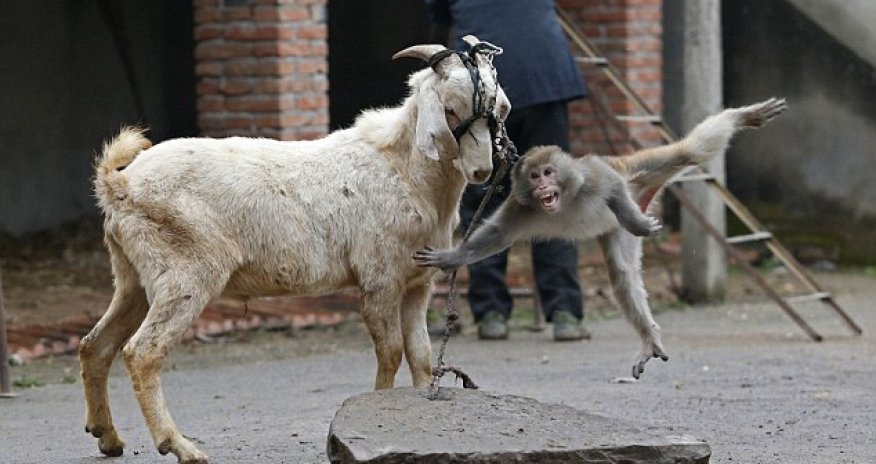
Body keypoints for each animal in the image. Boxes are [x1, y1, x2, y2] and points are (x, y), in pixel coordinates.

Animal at [414, 98, 788, 379]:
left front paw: (637, 222)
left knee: (686, 153)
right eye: (533, 177)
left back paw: (742, 117)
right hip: (615, 229)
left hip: (635, 170)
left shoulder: (588, 176)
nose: (543, 185)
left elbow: (608, 182)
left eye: (548, 172)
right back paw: (648, 337)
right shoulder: (520, 207)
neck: (562, 199)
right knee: (622, 275)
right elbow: (496, 235)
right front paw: (451, 258)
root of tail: (643, 192)